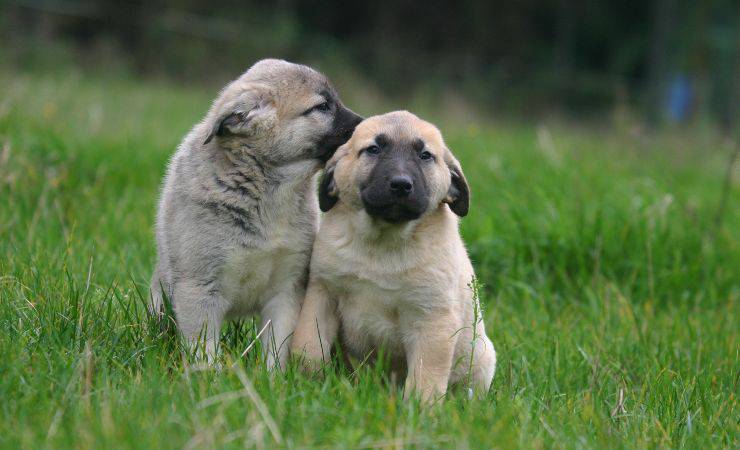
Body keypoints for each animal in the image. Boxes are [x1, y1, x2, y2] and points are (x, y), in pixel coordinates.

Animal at [150, 59, 362, 370]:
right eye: (322, 107)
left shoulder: (287, 290)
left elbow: (277, 348)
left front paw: (272, 378)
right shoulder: (198, 289)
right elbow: (204, 351)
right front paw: (208, 378)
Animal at [292, 110, 494, 400]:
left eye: (425, 155)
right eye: (373, 150)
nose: (400, 185)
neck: (382, 244)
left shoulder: (432, 319)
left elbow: (425, 377)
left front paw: (419, 408)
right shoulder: (322, 294)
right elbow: (308, 346)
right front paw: (305, 384)